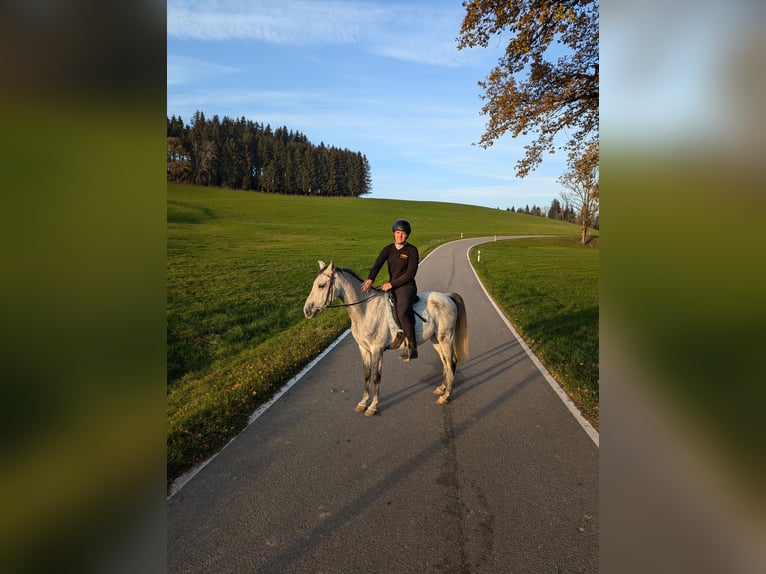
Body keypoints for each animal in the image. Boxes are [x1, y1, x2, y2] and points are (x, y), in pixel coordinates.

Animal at [304, 262, 472, 418]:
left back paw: (446, 395)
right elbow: (366, 375)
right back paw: (442, 388)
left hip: (446, 338)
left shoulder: (377, 349)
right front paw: (363, 402)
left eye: (321, 285)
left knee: (451, 362)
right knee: (445, 362)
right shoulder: (364, 349)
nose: (307, 310)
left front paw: (372, 406)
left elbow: (376, 377)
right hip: (435, 339)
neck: (365, 310)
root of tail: (447, 296)